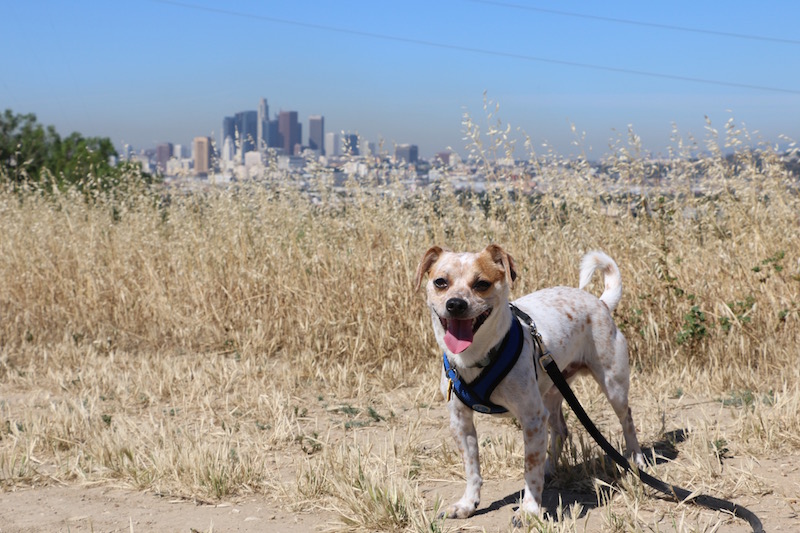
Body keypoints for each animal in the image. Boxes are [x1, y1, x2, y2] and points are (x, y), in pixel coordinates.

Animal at [412, 245, 644, 524]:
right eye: (440, 282)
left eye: (481, 284)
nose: (455, 303)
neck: (475, 357)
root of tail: (600, 302)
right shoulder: (460, 422)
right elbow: (472, 467)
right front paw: (468, 504)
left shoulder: (531, 419)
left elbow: (529, 469)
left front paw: (530, 510)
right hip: (551, 392)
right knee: (561, 430)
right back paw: (550, 468)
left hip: (612, 386)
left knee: (627, 419)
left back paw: (637, 461)